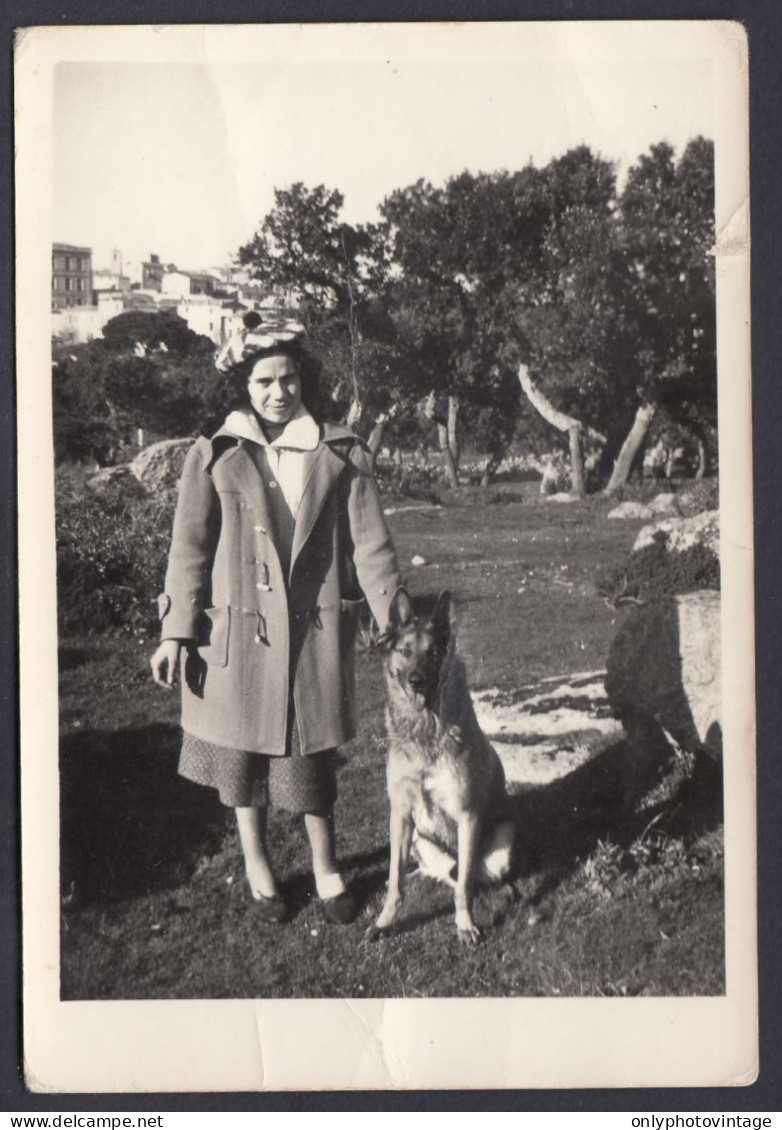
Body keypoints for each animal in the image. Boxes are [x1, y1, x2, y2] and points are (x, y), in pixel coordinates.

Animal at [368, 587, 515, 940]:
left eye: (434, 652)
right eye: (405, 651)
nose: (417, 680)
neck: (425, 732)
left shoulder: (467, 815)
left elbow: (463, 886)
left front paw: (465, 924)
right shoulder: (401, 814)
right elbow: (395, 881)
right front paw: (384, 922)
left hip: (501, 845)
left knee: (472, 878)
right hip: (420, 840)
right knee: (437, 873)